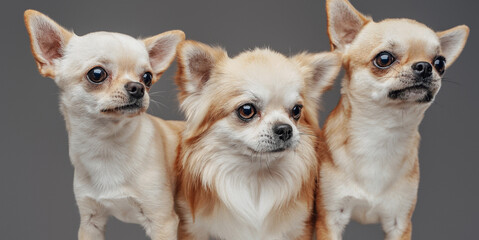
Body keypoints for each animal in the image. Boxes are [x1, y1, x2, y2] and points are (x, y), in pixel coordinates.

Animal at [24, 9, 186, 240]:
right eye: (97, 74)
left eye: (147, 77)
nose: (138, 87)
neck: (107, 145)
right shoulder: (91, 221)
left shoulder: (163, 222)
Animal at [172, 40, 342, 239]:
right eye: (247, 110)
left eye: (296, 110)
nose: (285, 129)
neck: (257, 179)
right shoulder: (193, 229)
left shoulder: (299, 229)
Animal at [316, 0, 470, 240]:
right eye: (384, 59)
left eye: (440, 63)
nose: (425, 66)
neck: (382, 133)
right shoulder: (330, 219)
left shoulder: (400, 221)